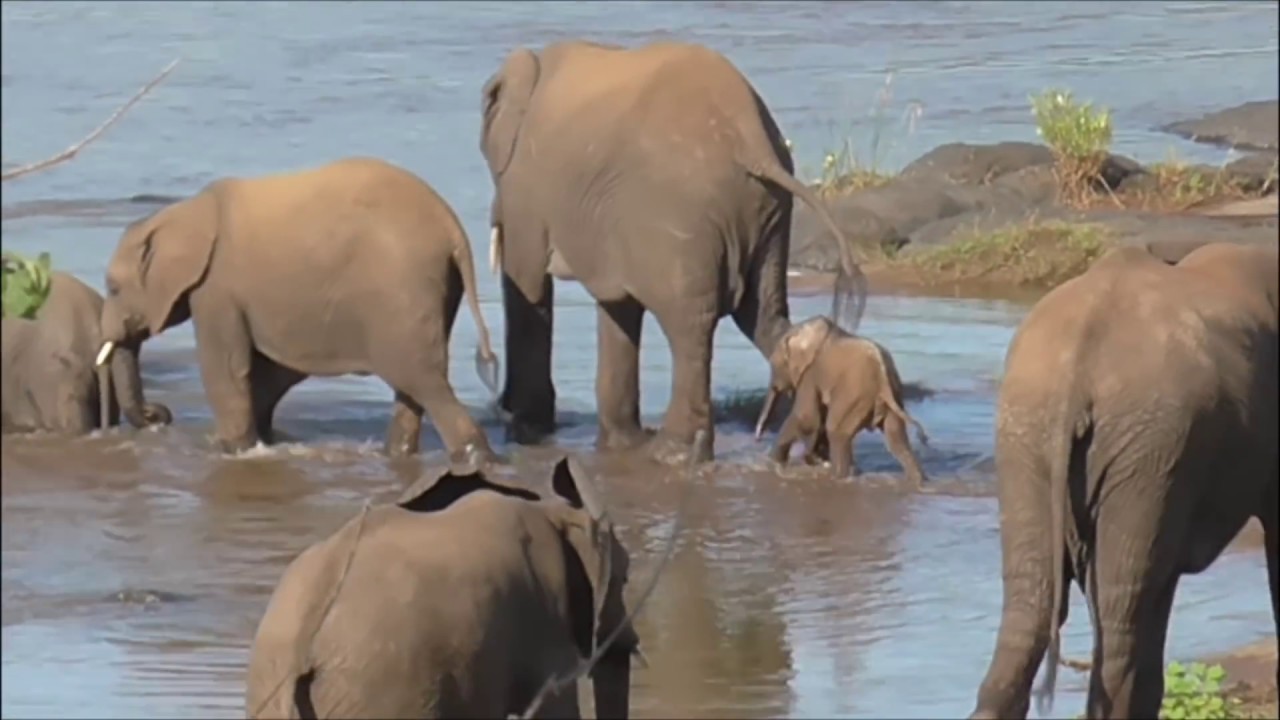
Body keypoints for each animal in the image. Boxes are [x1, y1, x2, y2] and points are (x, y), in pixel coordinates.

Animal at [95, 156, 500, 462]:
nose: (159, 416)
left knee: (421, 378)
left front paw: (235, 450)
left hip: (402, 289)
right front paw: (258, 442)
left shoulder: (216, 290)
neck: (181, 214)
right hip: (436, 289)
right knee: (413, 383)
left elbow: (226, 368)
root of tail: (452, 229)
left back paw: (474, 457)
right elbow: (272, 371)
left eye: (113, 288)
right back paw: (399, 455)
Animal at [479, 39, 867, 465]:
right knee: (765, 318)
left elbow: (529, 283)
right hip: (769, 214)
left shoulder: (525, 183)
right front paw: (619, 445)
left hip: (679, 218)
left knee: (688, 327)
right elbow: (617, 306)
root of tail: (751, 142)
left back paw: (673, 452)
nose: (500, 410)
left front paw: (524, 426)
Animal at [753, 315, 929, 485]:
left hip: (854, 397)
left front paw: (774, 461)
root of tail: (882, 378)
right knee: (897, 439)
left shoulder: (811, 374)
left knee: (837, 432)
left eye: (774, 364)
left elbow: (805, 417)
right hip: (892, 396)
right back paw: (918, 481)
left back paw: (838, 477)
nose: (757, 439)